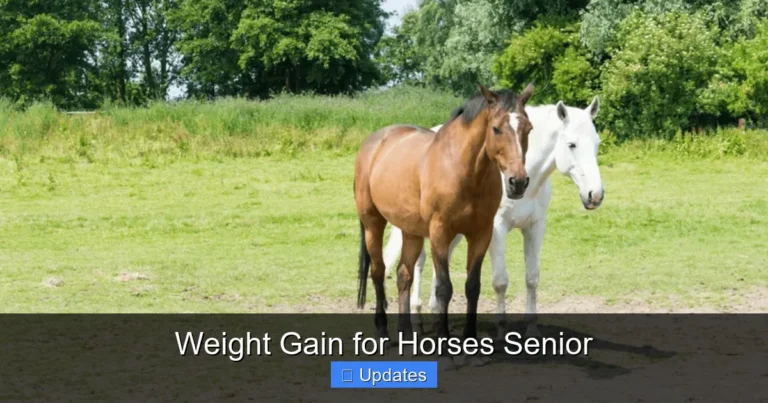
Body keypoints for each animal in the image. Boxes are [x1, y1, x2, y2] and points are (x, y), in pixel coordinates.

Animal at [354, 84, 535, 359]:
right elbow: (444, 288)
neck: (464, 170)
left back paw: (407, 336)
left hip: (411, 231)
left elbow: (472, 287)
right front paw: (445, 346)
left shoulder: (481, 234)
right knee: (378, 271)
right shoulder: (440, 233)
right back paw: (382, 333)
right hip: (373, 223)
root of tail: (373, 142)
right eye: (496, 128)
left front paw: (470, 345)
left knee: (403, 275)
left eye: (528, 128)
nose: (518, 182)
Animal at [382, 97, 604, 338]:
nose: (595, 195)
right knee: (418, 262)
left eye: (597, 143)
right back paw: (417, 320)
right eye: (571, 144)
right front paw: (501, 330)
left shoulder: (535, 227)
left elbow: (532, 278)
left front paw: (532, 330)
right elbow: (500, 281)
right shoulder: (496, 229)